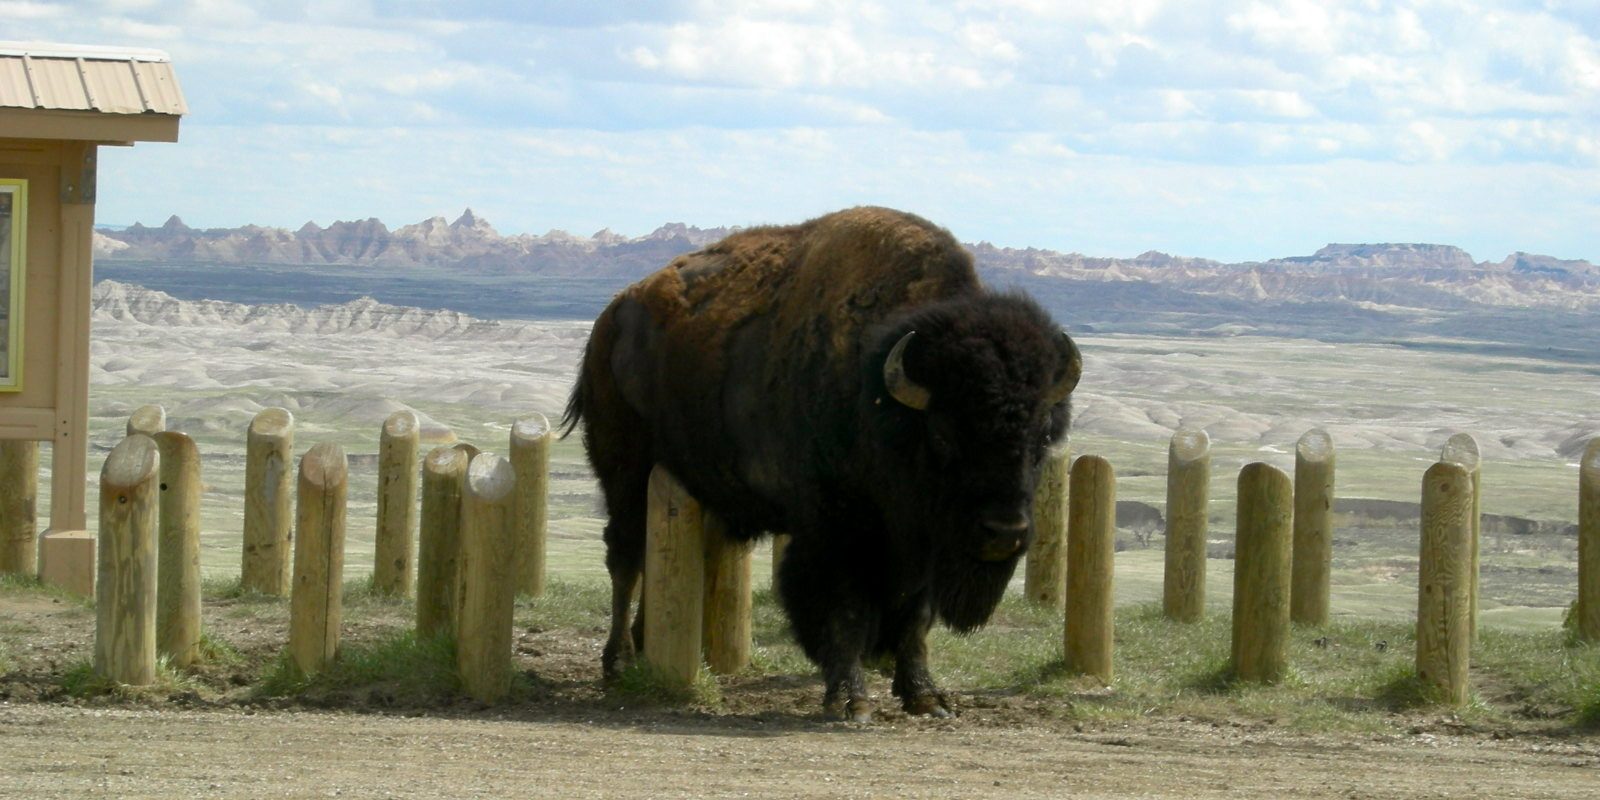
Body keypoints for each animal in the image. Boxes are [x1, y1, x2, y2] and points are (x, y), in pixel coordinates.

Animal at [562, 207, 1081, 721]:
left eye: (1041, 435)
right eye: (943, 433)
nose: (1005, 532)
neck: (878, 395)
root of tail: (611, 317)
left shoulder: (918, 546)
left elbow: (916, 616)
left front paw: (927, 697)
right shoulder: (836, 532)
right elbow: (843, 609)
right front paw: (850, 700)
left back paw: (644, 649)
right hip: (624, 470)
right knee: (627, 555)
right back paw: (618, 662)